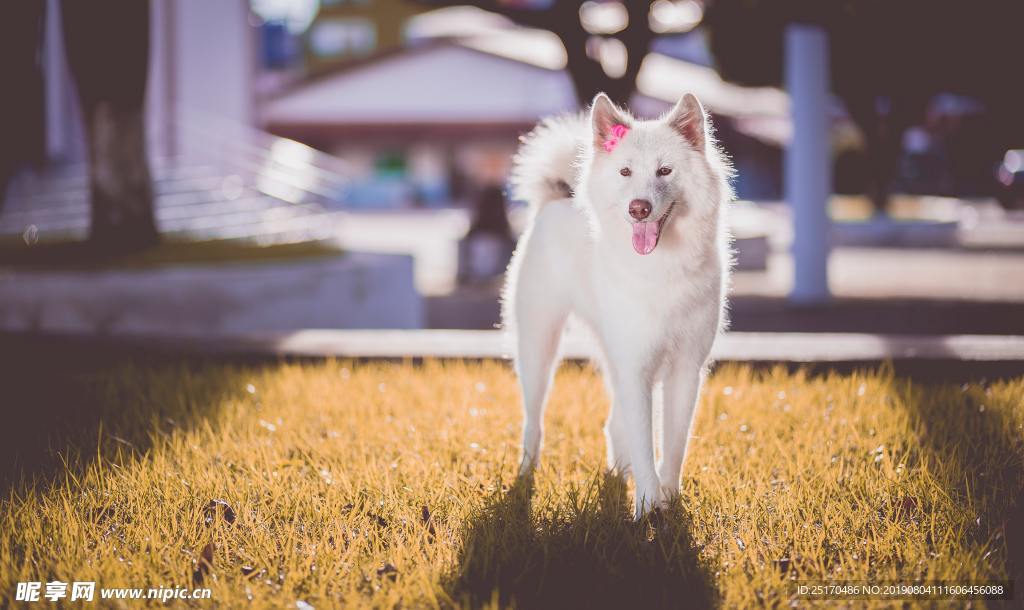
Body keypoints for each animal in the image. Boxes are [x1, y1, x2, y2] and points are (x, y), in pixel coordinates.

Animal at [499, 93, 733, 517]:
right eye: (625, 172)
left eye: (664, 170)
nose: (638, 208)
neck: (662, 266)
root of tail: (558, 198)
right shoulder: (636, 365)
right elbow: (644, 443)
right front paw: (647, 508)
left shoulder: (685, 370)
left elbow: (674, 445)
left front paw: (668, 502)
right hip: (538, 347)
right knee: (533, 420)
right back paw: (526, 475)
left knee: (614, 423)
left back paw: (619, 472)